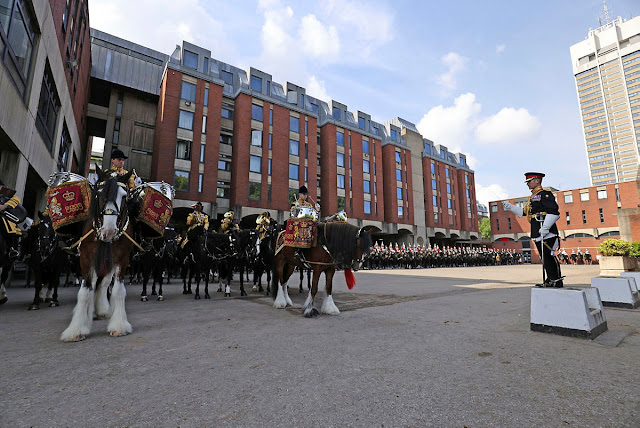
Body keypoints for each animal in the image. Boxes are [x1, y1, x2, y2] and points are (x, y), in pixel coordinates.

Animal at [60, 170, 136, 342]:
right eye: (99, 194)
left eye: (124, 196)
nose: (109, 231)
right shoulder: (86, 257)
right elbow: (85, 290)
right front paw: (76, 329)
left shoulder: (121, 258)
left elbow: (118, 290)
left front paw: (119, 325)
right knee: (94, 283)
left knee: (104, 283)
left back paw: (101, 310)